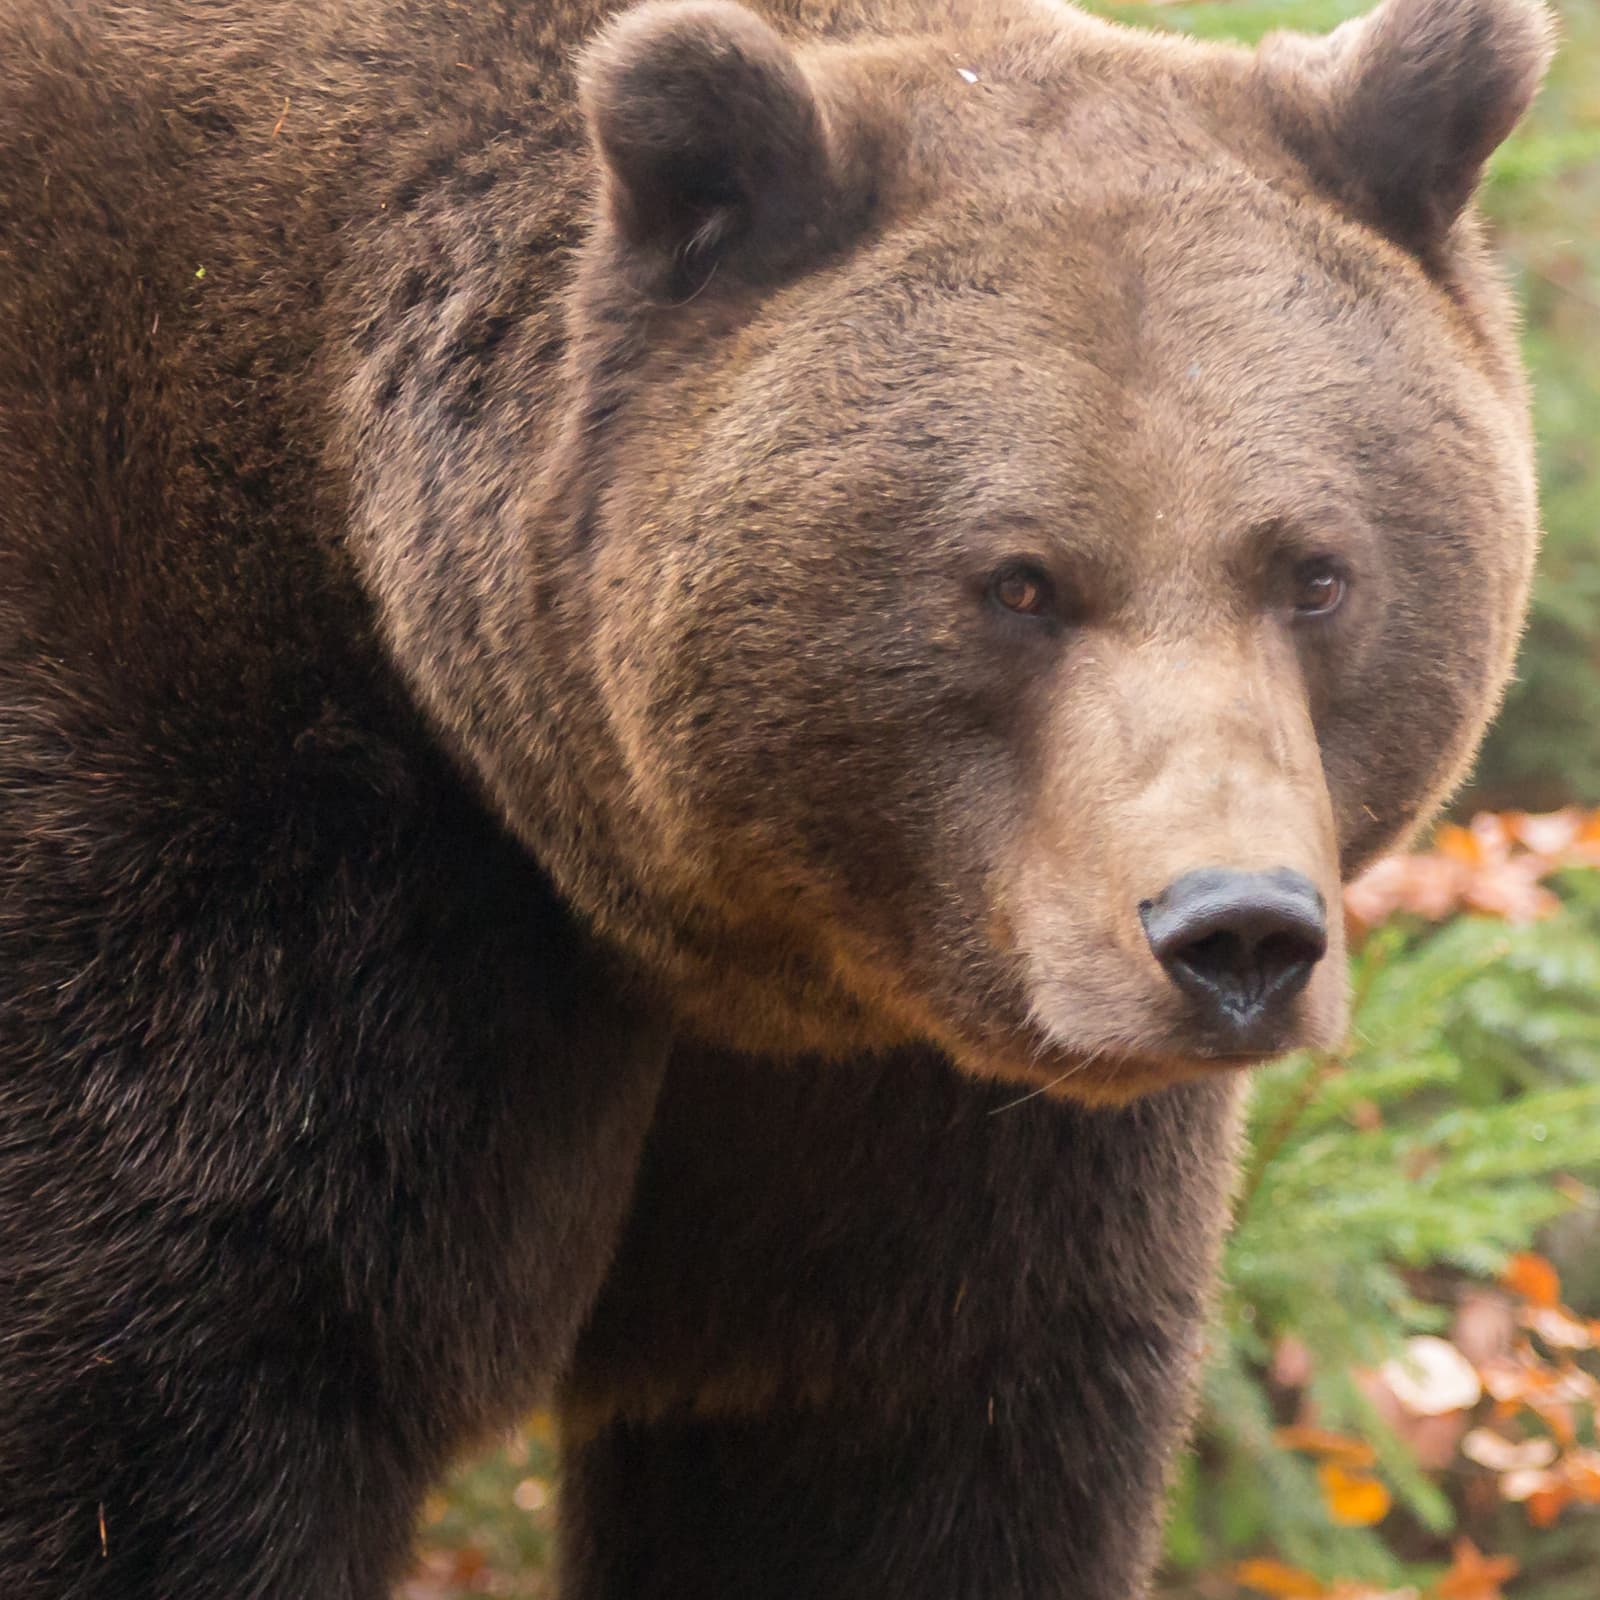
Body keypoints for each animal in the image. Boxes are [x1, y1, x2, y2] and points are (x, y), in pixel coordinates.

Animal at [0, 0, 1551, 1593]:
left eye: (1316, 572)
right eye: (1018, 581)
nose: (1234, 933)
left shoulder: (924, 1110)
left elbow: (899, 1452)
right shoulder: (216, 866)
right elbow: (163, 1407)